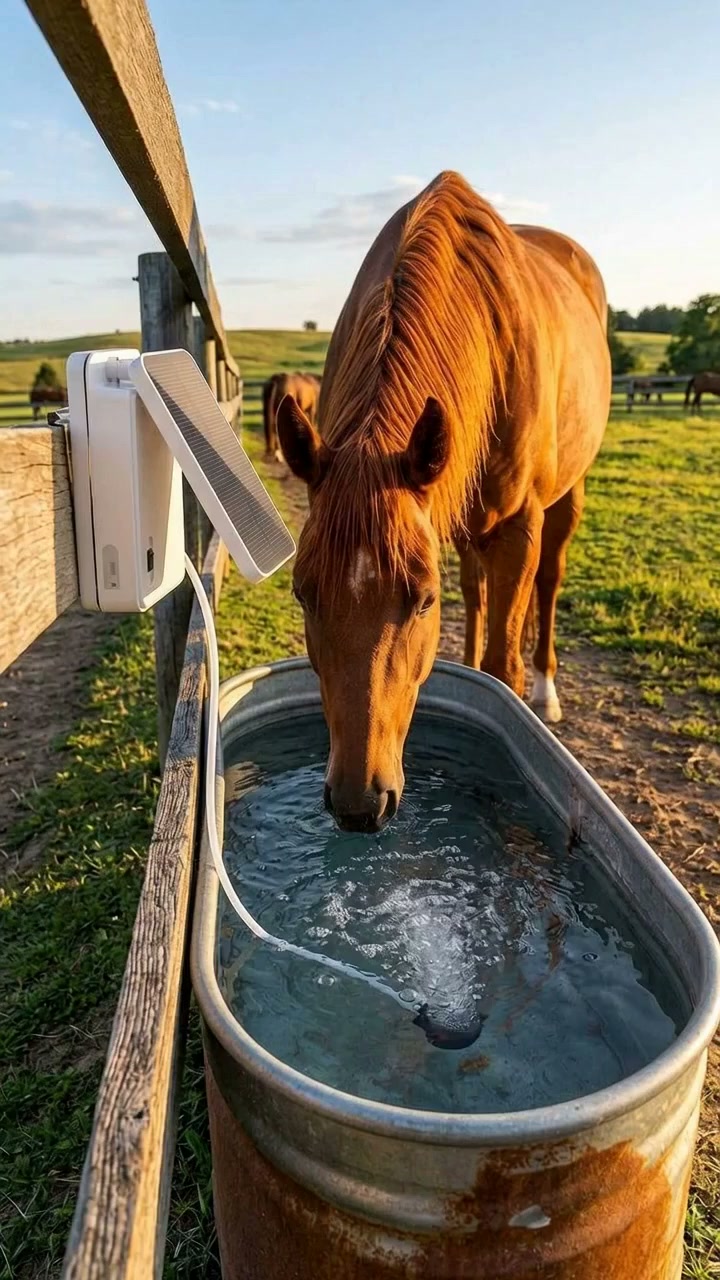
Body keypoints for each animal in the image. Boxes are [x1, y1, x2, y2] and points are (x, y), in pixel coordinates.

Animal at [277, 171, 610, 832]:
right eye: (302, 592)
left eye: (424, 601)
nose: (359, 806)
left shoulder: (518, 527)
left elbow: (506, 663)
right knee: (479, 592)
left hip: (565, 498)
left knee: (548, 583)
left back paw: (546, 688)